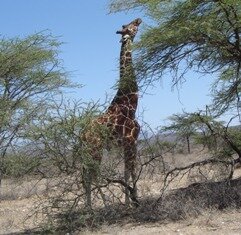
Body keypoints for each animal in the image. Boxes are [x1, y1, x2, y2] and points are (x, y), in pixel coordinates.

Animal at [82, 18, 141, 209]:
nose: (139, 19)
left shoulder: (127, 144)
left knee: (86, 175)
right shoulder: (131, 140)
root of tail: (81, 135)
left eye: (127, 25)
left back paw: (89, 207)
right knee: (93, 173)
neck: (130, 104)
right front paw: (135, 200)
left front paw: (129, 201)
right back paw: (104, 204)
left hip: (91, 150)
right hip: (96, 148)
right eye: (132, 27)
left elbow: (126, 171)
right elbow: (132, 170)